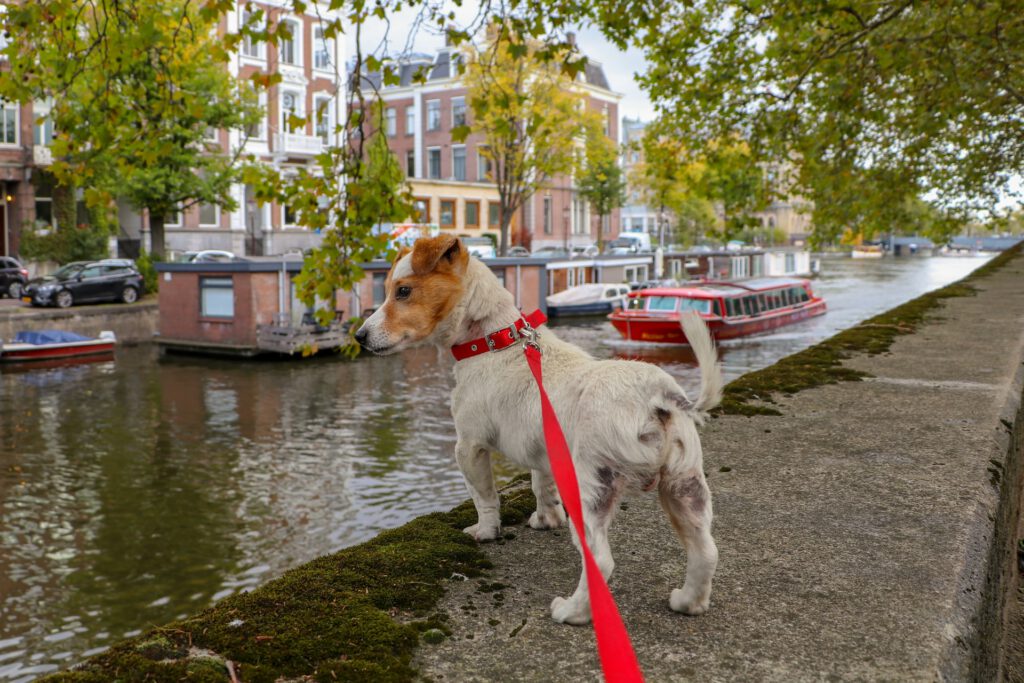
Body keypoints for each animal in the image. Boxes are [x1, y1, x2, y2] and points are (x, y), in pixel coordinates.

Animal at [356, 235, 724, 626]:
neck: (495, 341)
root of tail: (655, 393)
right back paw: (688, 602)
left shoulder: (468, 447)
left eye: (403, 291)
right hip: (685, 489)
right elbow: (541, 487)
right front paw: (547, 520)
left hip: (593, 489)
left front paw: (485, 532)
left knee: (601, 561)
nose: (359, 336)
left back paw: (572, 612)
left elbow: (485, 498)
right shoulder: (543, 451)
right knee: (706, 552)